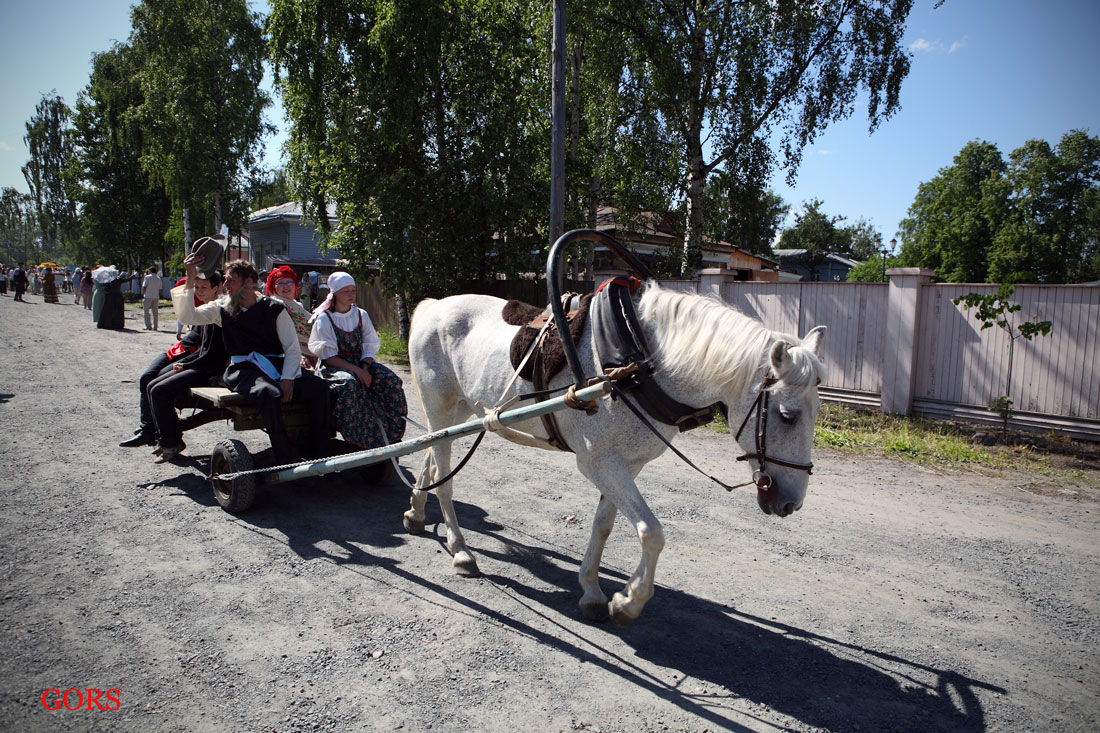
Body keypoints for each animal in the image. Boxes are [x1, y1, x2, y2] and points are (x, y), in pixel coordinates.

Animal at [407, 279, 827, 620]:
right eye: (787, 415)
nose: (791, 502)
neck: (632, 364)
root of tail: (432, 306)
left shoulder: (626, 464)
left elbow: (604, 525)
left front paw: (594, 591)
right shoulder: (599, 462)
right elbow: (652, 532)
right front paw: (630, 601)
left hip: (457, 414)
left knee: (430, 458)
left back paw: (415, 512)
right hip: (441, 409)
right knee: (444, 479)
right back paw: (461, 551)